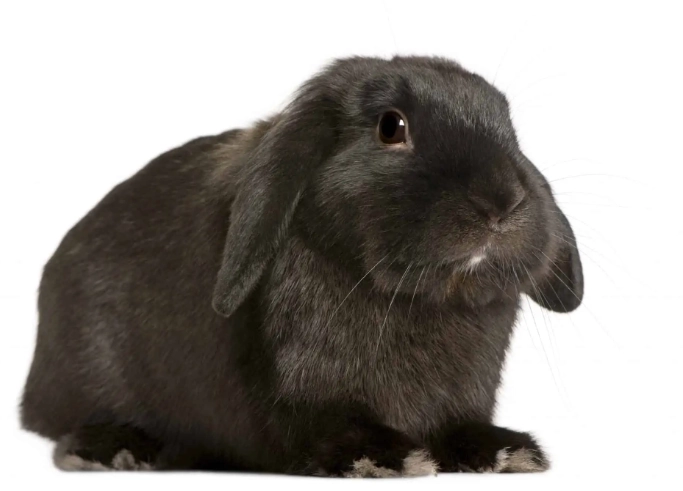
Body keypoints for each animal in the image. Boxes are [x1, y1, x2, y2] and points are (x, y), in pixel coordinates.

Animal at [20, 55, 583, 476]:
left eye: (509, 127)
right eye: (391, 126)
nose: (502, 203)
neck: (413, 300)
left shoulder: (463, 397)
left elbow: (462, 426)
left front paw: (508, 450)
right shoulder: (307, 392)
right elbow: (330, 428)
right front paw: (381, 458)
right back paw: (114, 448)